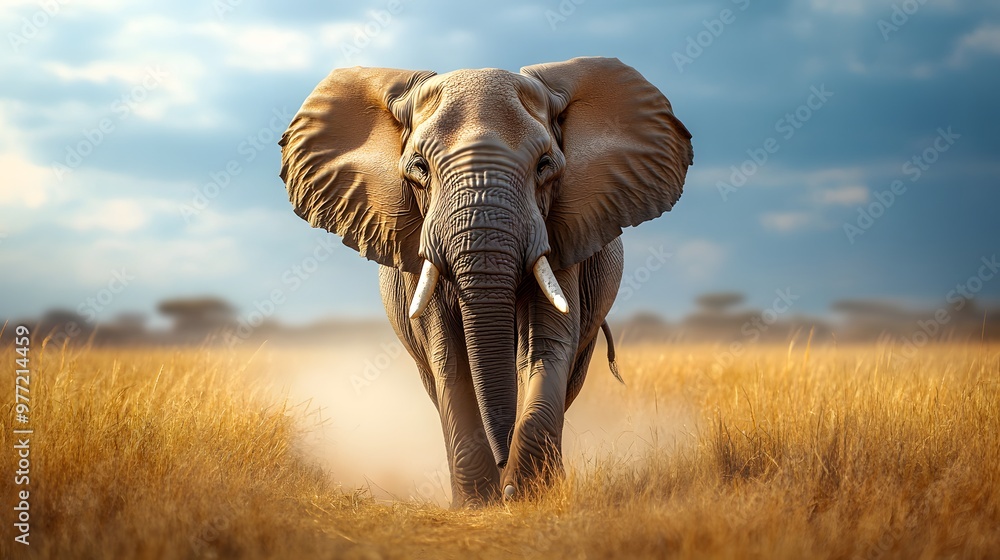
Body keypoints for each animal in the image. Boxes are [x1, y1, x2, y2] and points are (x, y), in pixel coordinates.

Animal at [278, 56, 693, 507]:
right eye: (419, 168)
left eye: (545, 166)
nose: (502, 461)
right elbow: (449, 357)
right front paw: (478, 503)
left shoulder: (563, 231)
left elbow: (545, 346)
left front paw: (524, 493)